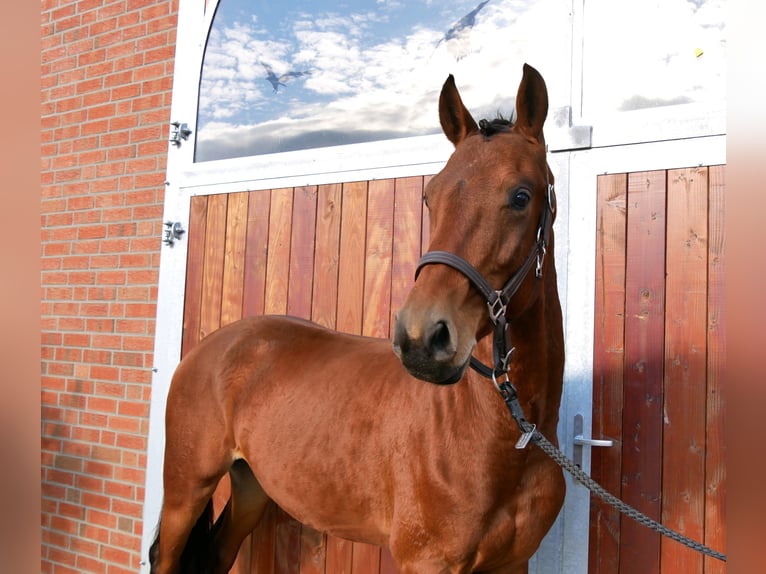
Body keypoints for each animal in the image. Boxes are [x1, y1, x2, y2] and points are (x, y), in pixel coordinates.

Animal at [150, 64, 568, 574]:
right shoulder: (425, 563)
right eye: (430, 197)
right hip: (185, 492)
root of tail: (211, 347)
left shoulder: (512, 564)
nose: (420, 337)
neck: (502, 439)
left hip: (251, 488)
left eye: (521, 196)